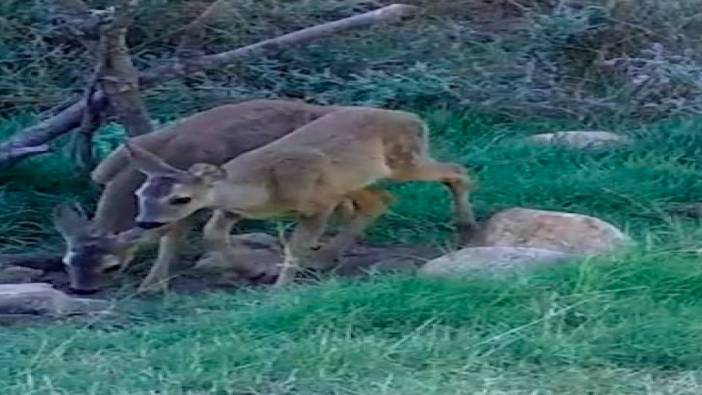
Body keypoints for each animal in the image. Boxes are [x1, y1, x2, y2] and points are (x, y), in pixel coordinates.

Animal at [125, 107, 478, 288]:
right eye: (140, 193)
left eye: (180, 199)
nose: (145, 222)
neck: (264, 188)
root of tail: (415, 118)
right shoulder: (236, 208)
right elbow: (213, 232)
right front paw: (254, 271)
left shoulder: (319, 201)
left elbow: (295, 245)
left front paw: (280, 286)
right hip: (354, 178)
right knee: (380, 200)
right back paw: (324, 259)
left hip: (402, 161)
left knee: (456, 170)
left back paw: (467, 229)